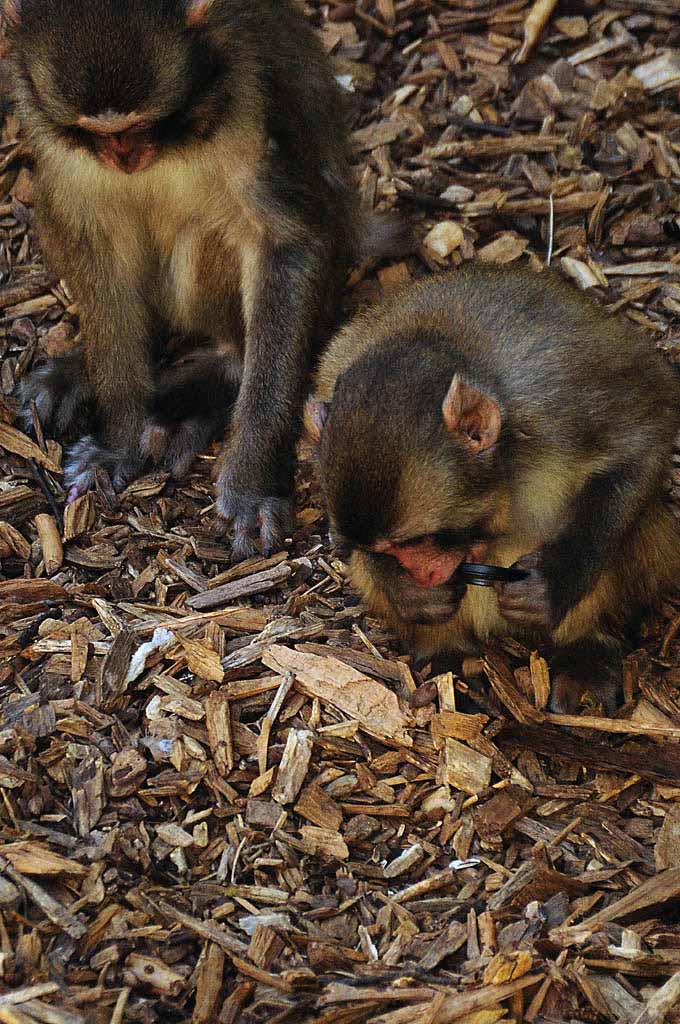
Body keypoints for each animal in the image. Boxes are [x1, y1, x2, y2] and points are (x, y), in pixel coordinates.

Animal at [4, 0, 375, 560]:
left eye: (139, 124)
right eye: (96, 132)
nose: (123, 157)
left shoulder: (249, 104)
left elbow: (287, 243)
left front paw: (251, 481)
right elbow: (92, 241)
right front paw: (118, 437)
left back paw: (210, 379)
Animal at [304, 263, 680, 714]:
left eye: (418, 539)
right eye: (392, 550)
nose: (421, 574)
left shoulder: (561, 397)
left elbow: (646, 437)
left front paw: (554, 581)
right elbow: (347, 544)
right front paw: (407, 591)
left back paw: (584, 650)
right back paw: (447, 660)